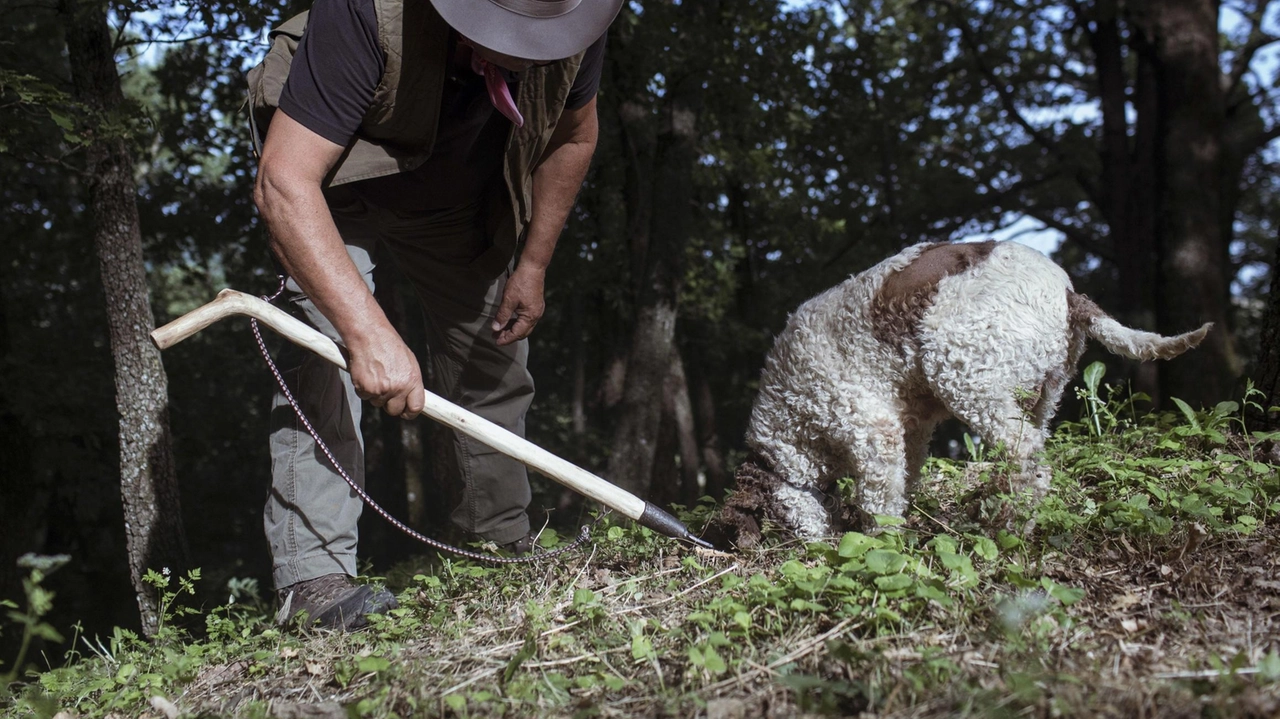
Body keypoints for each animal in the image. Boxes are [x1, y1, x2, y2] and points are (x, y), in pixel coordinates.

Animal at [721, 240, 1208, 542]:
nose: (810, 549)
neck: (790, 416)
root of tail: (1069, 293)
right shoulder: (911, 431)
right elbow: (903, 482)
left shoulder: (871, 429)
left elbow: (878, 500)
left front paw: (878, 544)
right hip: (1040, 394)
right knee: (1034, 453)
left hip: (965, 374)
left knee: (1025, 461)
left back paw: (1008, 529)